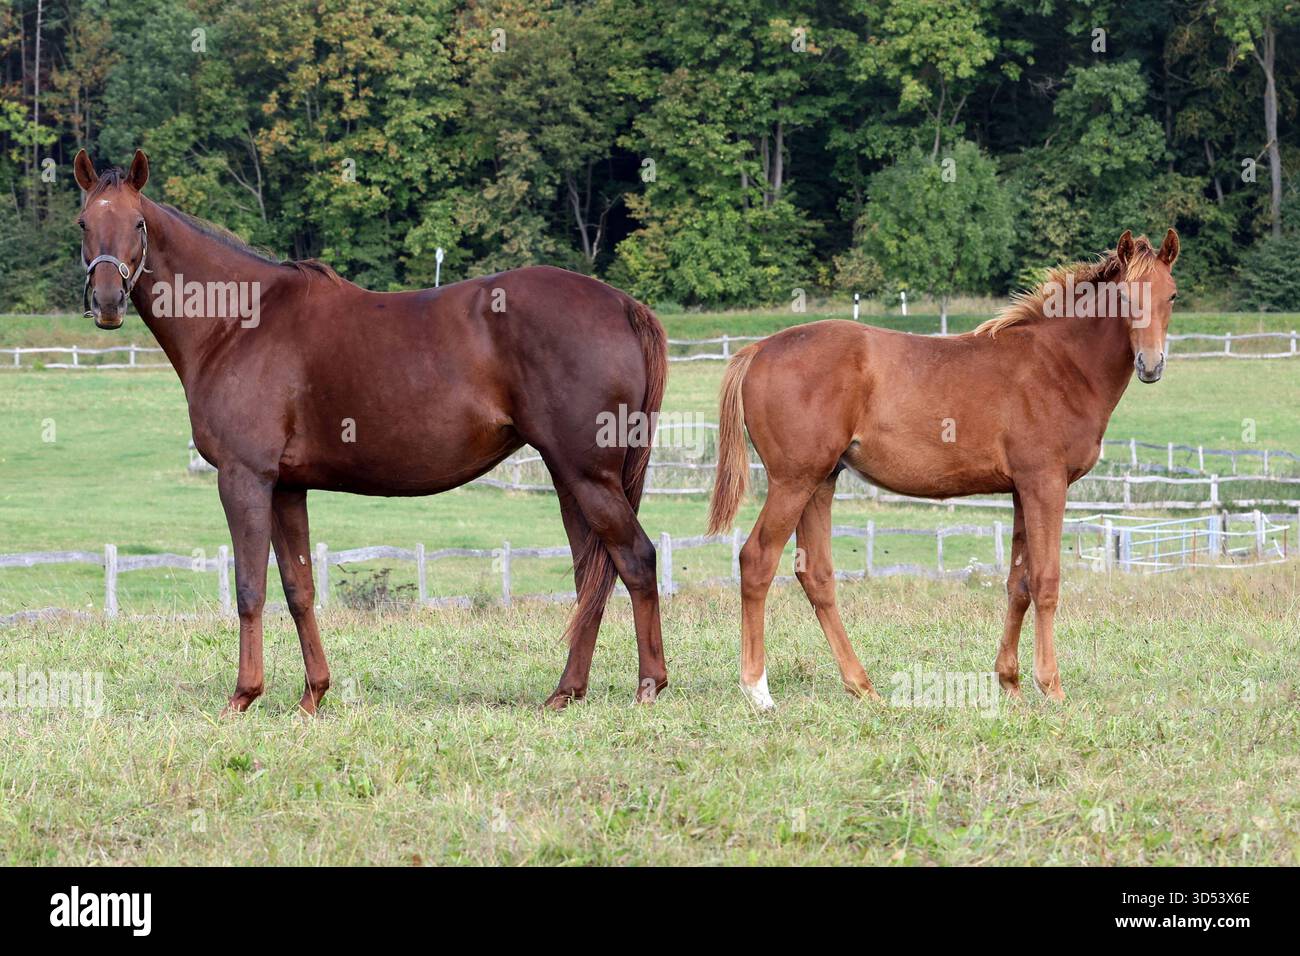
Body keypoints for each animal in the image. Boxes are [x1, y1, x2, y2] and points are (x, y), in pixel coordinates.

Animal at [72, 149, 669, 714]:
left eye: (138, 223)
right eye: (83, 221)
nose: (107, 301)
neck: (238, 323)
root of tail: (624, 305)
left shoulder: (245, 478)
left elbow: (249, 588)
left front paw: (243, 695)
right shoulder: (287, 487)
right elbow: (299, 587)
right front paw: (313, 695)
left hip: (587, 474)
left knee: (636, 560)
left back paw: (648, 686)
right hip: (570, 477)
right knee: (591, 576)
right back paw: (567, 691)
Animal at [707, 228, 1180, 709]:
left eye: (1171, 295)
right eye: (1124, 296)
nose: (1151, 365)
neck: (1057, 364)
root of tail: (758, 349)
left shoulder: (1021, 490)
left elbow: (1018, 584)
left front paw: (1009, 681)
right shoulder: (1046, 484)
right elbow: (1046, 582)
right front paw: (1051, 686)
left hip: (820, 483)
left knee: (816, 575)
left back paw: (862, 686)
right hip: (792, 482)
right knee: (757, 561)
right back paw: (758, 691)